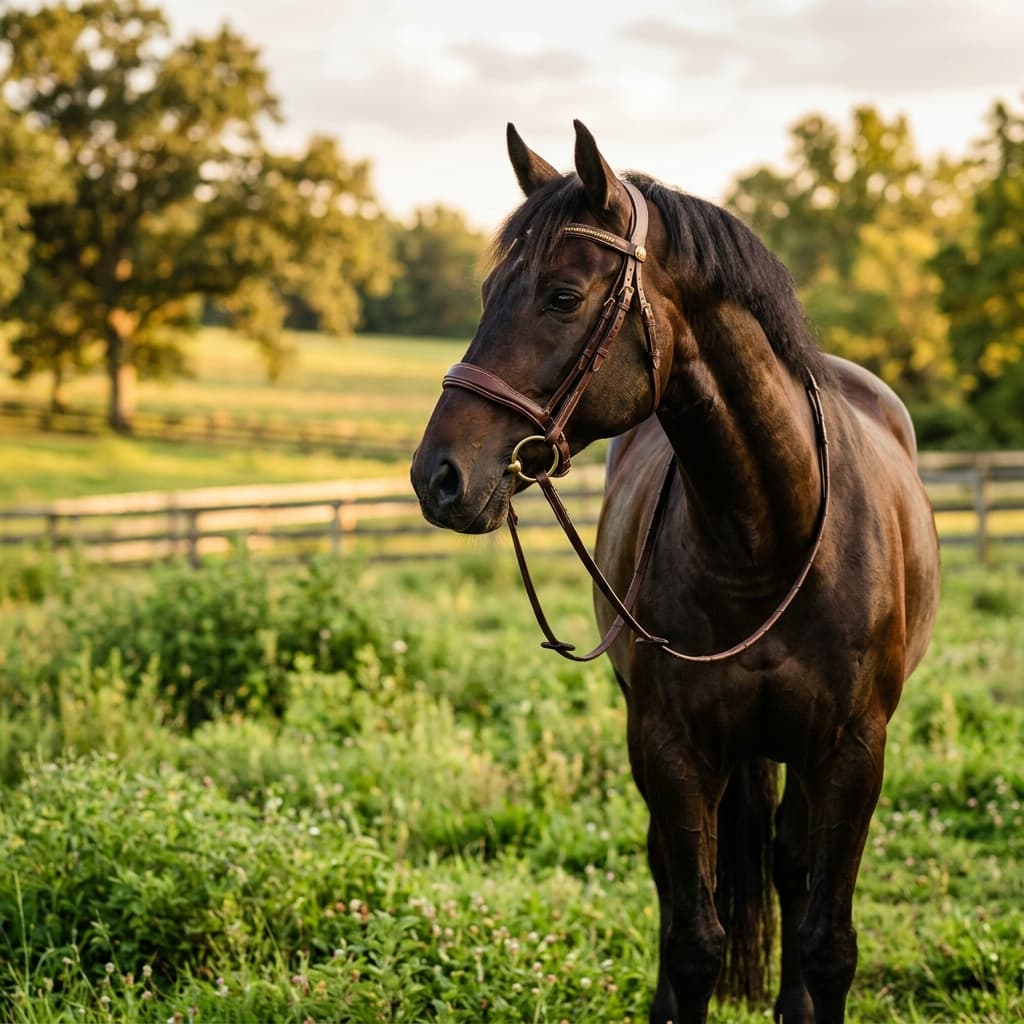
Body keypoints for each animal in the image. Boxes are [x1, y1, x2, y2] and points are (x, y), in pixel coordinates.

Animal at [410, 121, 940, 1024]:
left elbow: (828, 944)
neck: (766, 540)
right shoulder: (671, 747)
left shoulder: (853, 752)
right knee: (673, 868)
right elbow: (693, 941)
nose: (437, 476)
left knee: (789, 866)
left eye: (562, 297)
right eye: (486, 294)